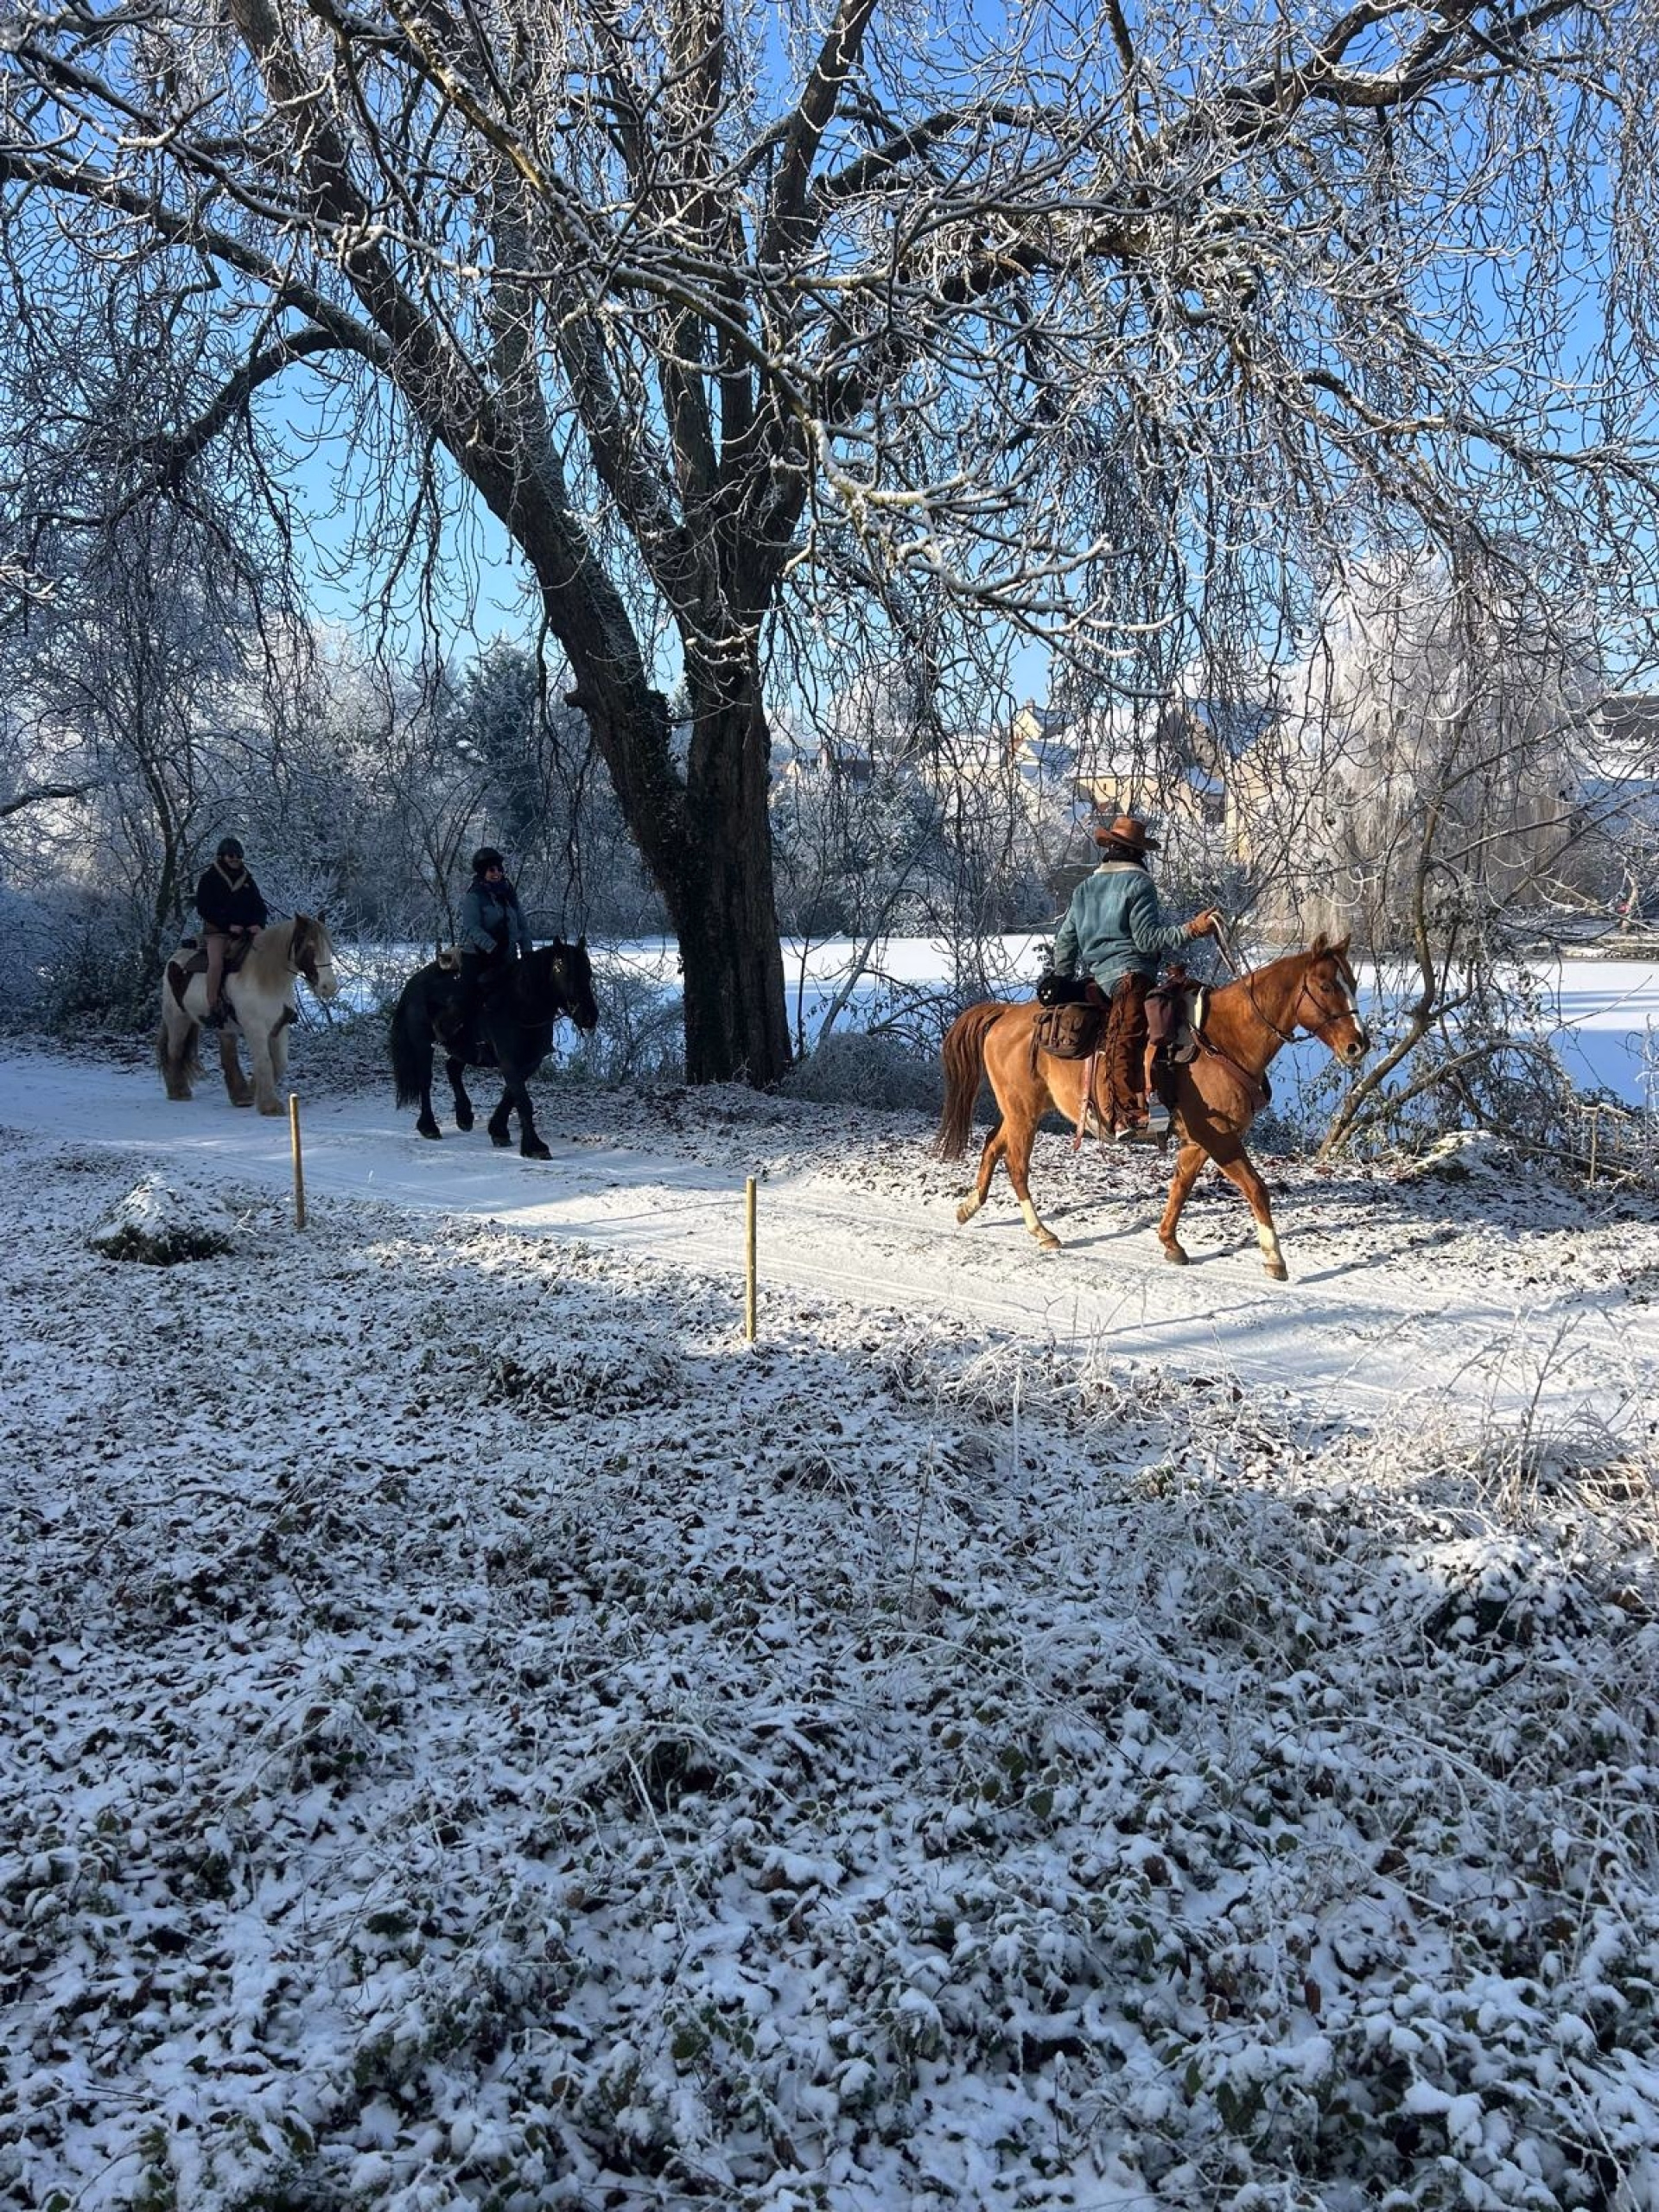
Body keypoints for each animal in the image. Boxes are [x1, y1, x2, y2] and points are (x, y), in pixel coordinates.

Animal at [157, 914, 340, 1116]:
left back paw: (241, 1096)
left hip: (223, 1025)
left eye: (329, 947)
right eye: (310, 946)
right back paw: (179, 1091)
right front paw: (270, 1106)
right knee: (174, 1050)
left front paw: (254, 1092)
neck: (268, 980)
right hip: (177, 1018)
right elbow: (265, 1061)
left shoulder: (279, 1026)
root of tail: (175, 958)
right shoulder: (255, 1028)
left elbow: (279, 1063)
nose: (329, 987)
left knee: (228, 1055)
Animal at [389, 938, 599, 1160]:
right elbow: (523, 1102)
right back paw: (429, 1126)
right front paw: (535, 1146)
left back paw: (464, 1116)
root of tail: (414, 981)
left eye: (588, 971)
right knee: (425, 1082)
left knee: (453, 1070)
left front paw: (499, 1131)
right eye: (562, 970)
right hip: (423, 1045)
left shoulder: (529, 1063)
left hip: (464, 1049)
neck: (519, 1005)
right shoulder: (509, 1062)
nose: (588, 1016)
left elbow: (511, 1096)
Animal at [936, 934, 1370, 1279]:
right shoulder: (1220, 1137)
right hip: (1023, 1113)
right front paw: (1274, 1258)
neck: (1223, 1039)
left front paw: (1170, 1242)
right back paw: (1042, 1232)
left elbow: (1181, 1186)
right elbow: (1256, 1188)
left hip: (1021, 1112)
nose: (1358, 1045)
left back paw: (968, 1207)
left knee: (993, 1145)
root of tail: (1006, 1013)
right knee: (1016, 1164)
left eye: (1351, 982)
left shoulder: (1198, 1140)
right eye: (1325, 985)